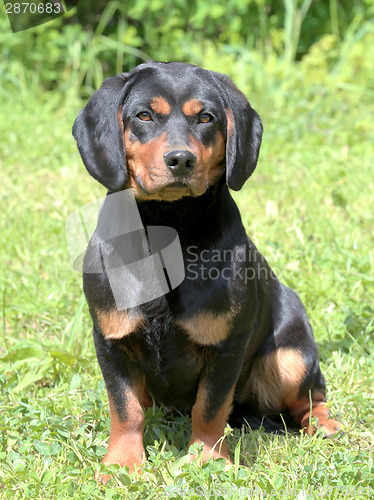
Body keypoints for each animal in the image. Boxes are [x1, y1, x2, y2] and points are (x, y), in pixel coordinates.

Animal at [71, 61, 340, 476]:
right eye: (144, 115)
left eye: (205, 117)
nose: (181, 160)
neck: (168, 230)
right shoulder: (112, 340)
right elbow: (125, 407)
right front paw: (122, 463)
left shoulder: (226, 347)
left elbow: (210, 407)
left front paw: (207, 459)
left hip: (291, 356)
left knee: (311, 397)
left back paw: (326, 424)